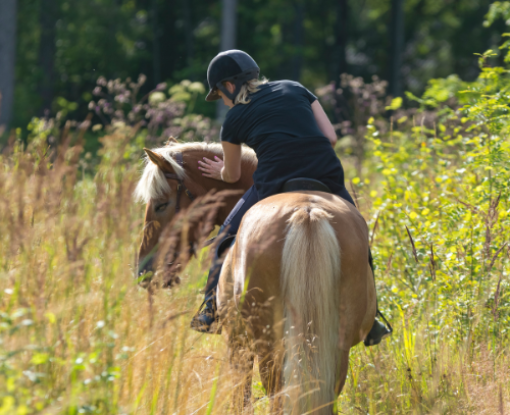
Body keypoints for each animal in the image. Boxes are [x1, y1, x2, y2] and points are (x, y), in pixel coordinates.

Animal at [133, 143, 376, 415]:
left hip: (268, 345)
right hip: (334, 347)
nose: (144, 270)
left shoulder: (237, 340)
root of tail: (307, 213)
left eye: (161, 205)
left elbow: (242, 397)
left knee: (276, 396)